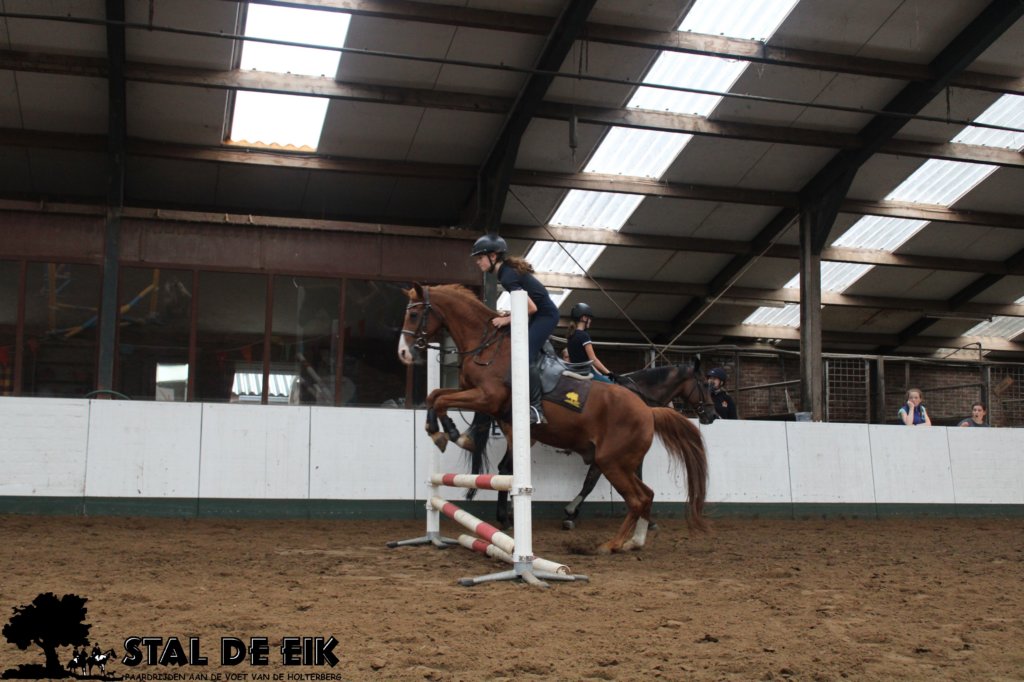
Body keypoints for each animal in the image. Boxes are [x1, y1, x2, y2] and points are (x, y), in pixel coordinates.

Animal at [458, 362, 717, 529]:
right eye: (704, 384)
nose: (712, 414)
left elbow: (593, 480)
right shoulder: (610, 455)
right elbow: (591, 482)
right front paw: (571, 513)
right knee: (506, 469)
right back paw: (506, 517)